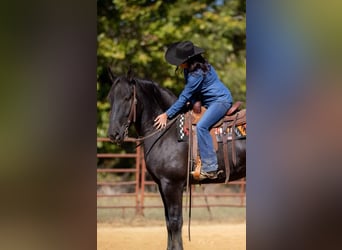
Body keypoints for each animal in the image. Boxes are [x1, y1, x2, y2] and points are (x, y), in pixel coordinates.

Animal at [107, 68, 246, 250]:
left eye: (128, 97)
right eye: (110, 98)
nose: (113, 134)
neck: (167, 131)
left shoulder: (172, 185)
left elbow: (175, 222)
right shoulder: (162, 185)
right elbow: (168, 222)